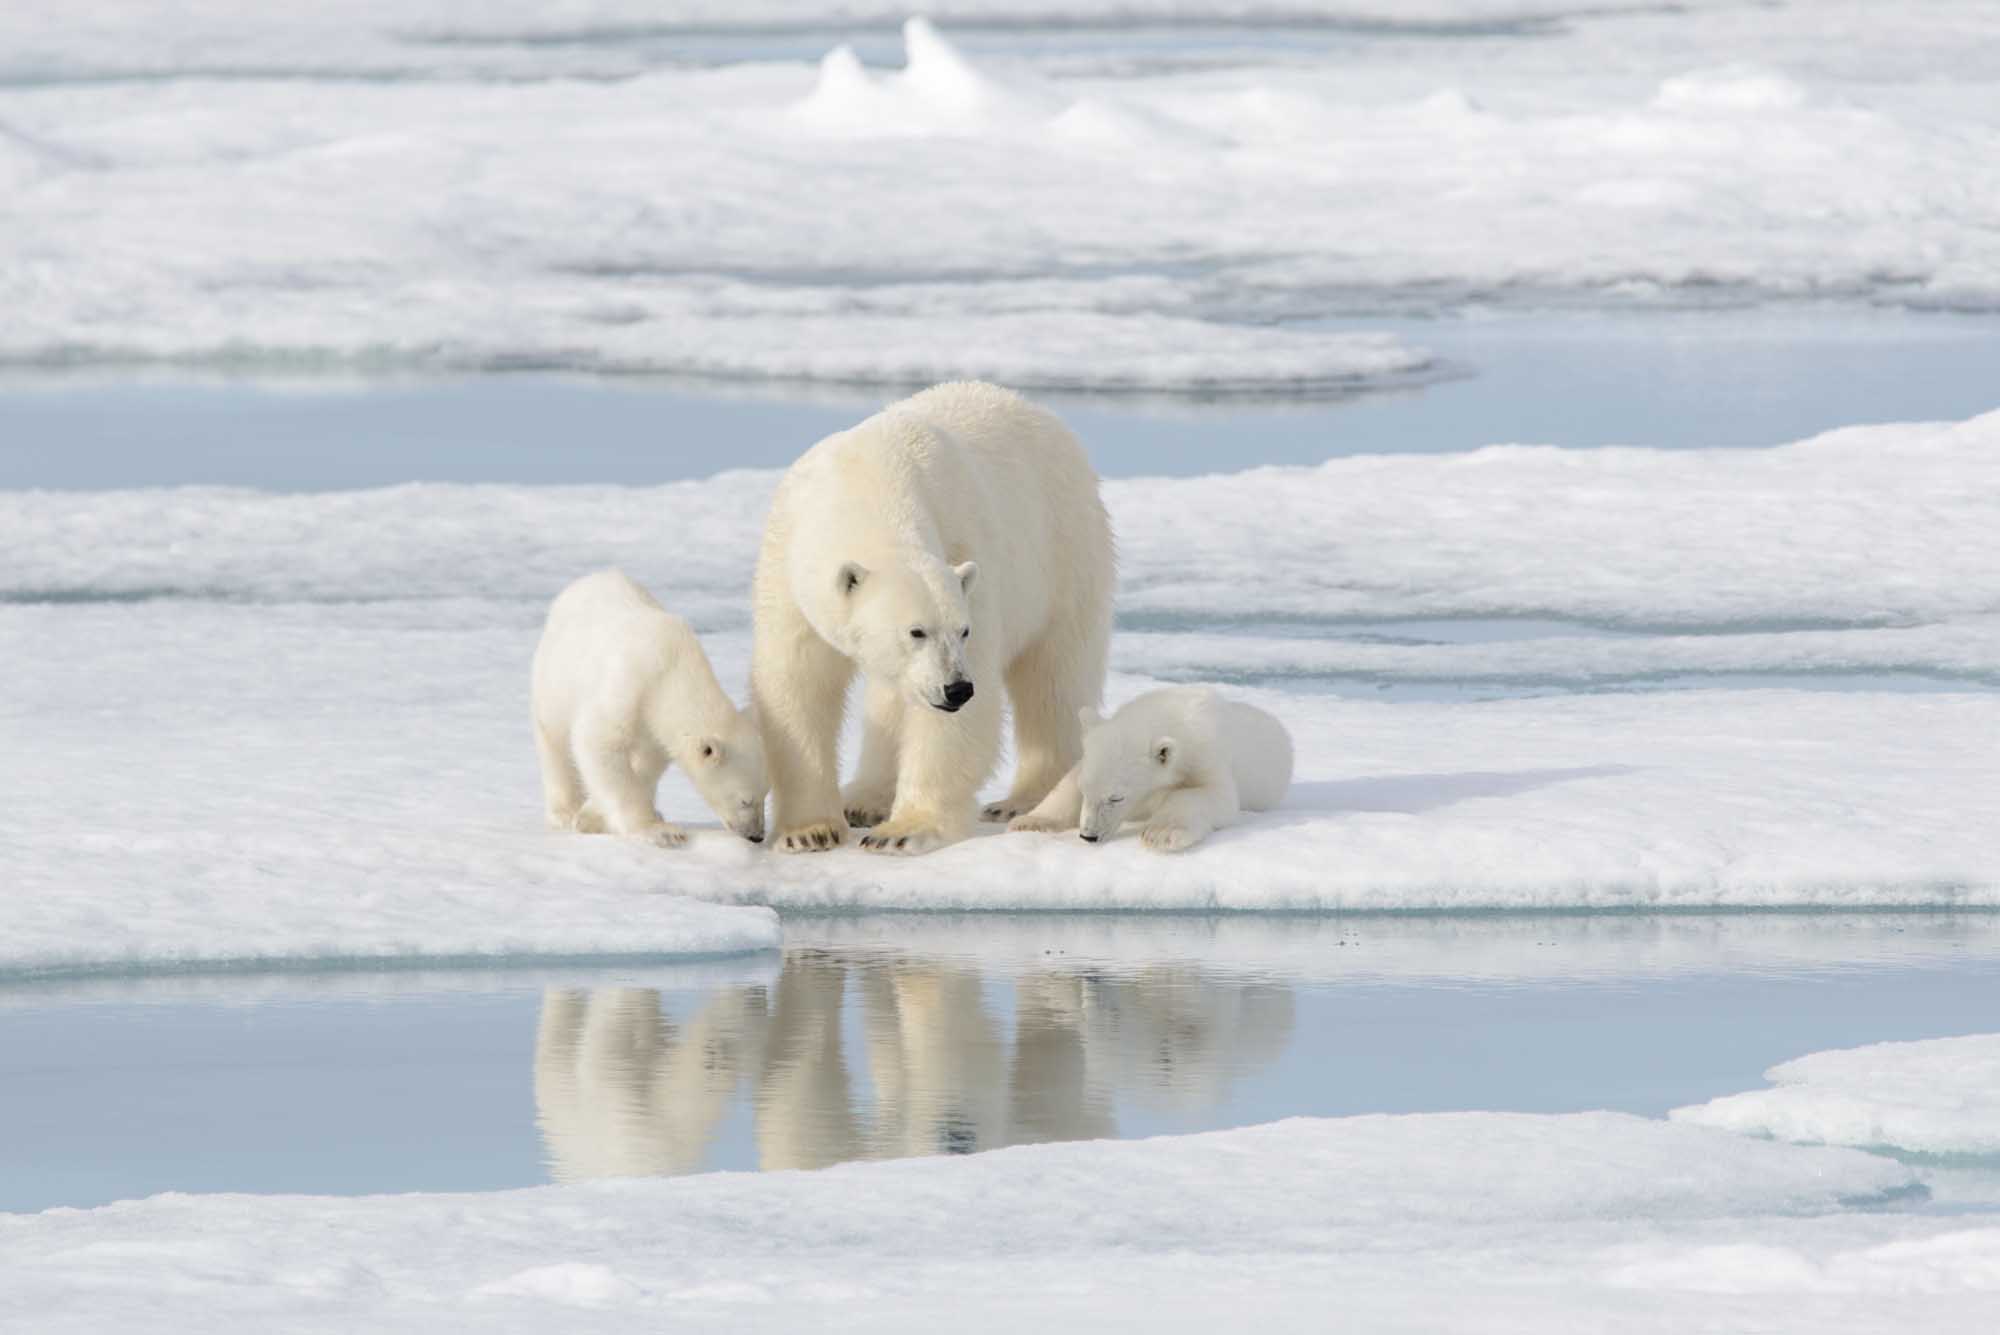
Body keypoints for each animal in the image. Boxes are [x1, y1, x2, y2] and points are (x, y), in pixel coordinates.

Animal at [532, 569, 768, 846]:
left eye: (766, 794)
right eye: (745, 800)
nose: (757, 836)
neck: (671, 671)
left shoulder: (654, 728)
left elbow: (646, 764)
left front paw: (594, 816)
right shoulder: (628, 687)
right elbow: (597, 741)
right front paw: (660, 831)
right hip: (555, 675)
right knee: (554, 739)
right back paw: (565, 810)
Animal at [750, 381, 1115, 856]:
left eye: (963, 631)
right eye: (916, 631)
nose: (957, 688)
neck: (868, 482)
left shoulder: (967, 553)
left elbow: (959, 722)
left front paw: (903, 831)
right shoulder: (787, 564)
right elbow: (797, 682)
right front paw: (809, 831)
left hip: (1065, 551)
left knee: (1053, 678)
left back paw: (1022, 801)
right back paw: (863, 798)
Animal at [1009, 686, 1293, 852]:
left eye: (1116, 797)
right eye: (1085, 790)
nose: (1088, 836)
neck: (1174, 717)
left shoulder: (1206, 756)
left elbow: (1211, 795)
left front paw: (1160, 834)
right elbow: (1067, 784)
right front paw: (1028, 822)